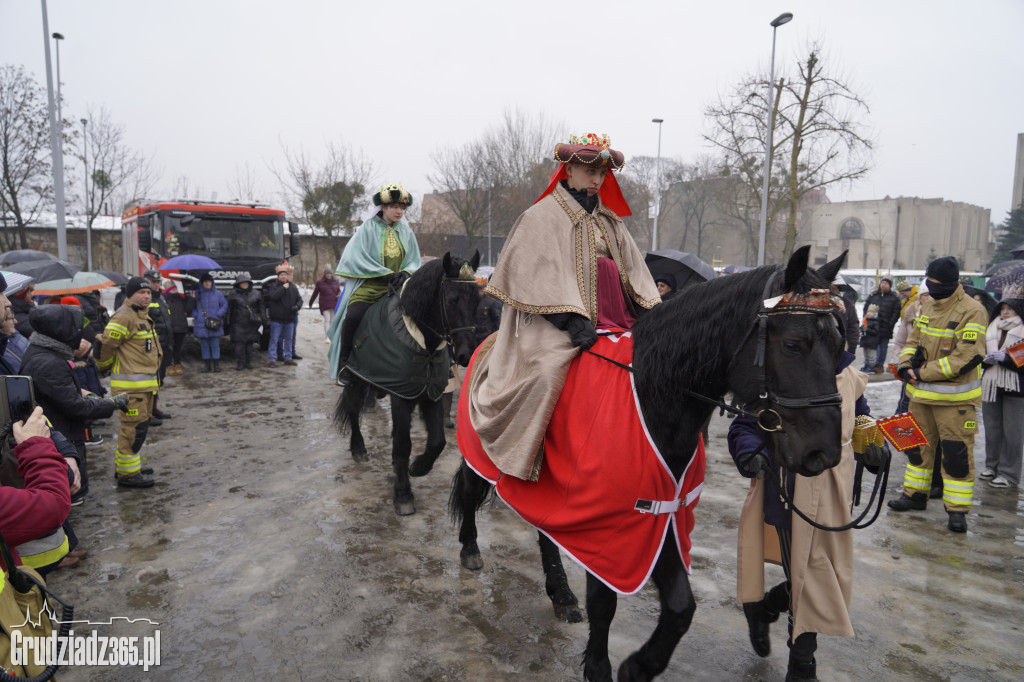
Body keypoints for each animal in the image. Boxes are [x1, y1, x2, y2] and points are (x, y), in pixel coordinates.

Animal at [335, 251, 479, 512]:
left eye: (478, 301)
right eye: (452, 299)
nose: (466, 354)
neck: (422, 340)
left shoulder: (430, 393)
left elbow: (437, 441)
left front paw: (419, 467)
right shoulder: (401, 396)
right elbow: (403, 444)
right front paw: (403, 493)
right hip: (357, 379)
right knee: (352, 409)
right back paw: (358, 448)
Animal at [452, 245, 843, 679]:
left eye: (839, 343)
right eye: (793, 344)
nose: (823, 452)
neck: (653, 393)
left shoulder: (659, 516)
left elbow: (680, 607)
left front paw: (638, 666)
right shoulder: (605, 525)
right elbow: (604, 605)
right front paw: (600, 667)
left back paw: (561, 592)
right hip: (485, 457)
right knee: (469, 492)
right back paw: (470, 548)